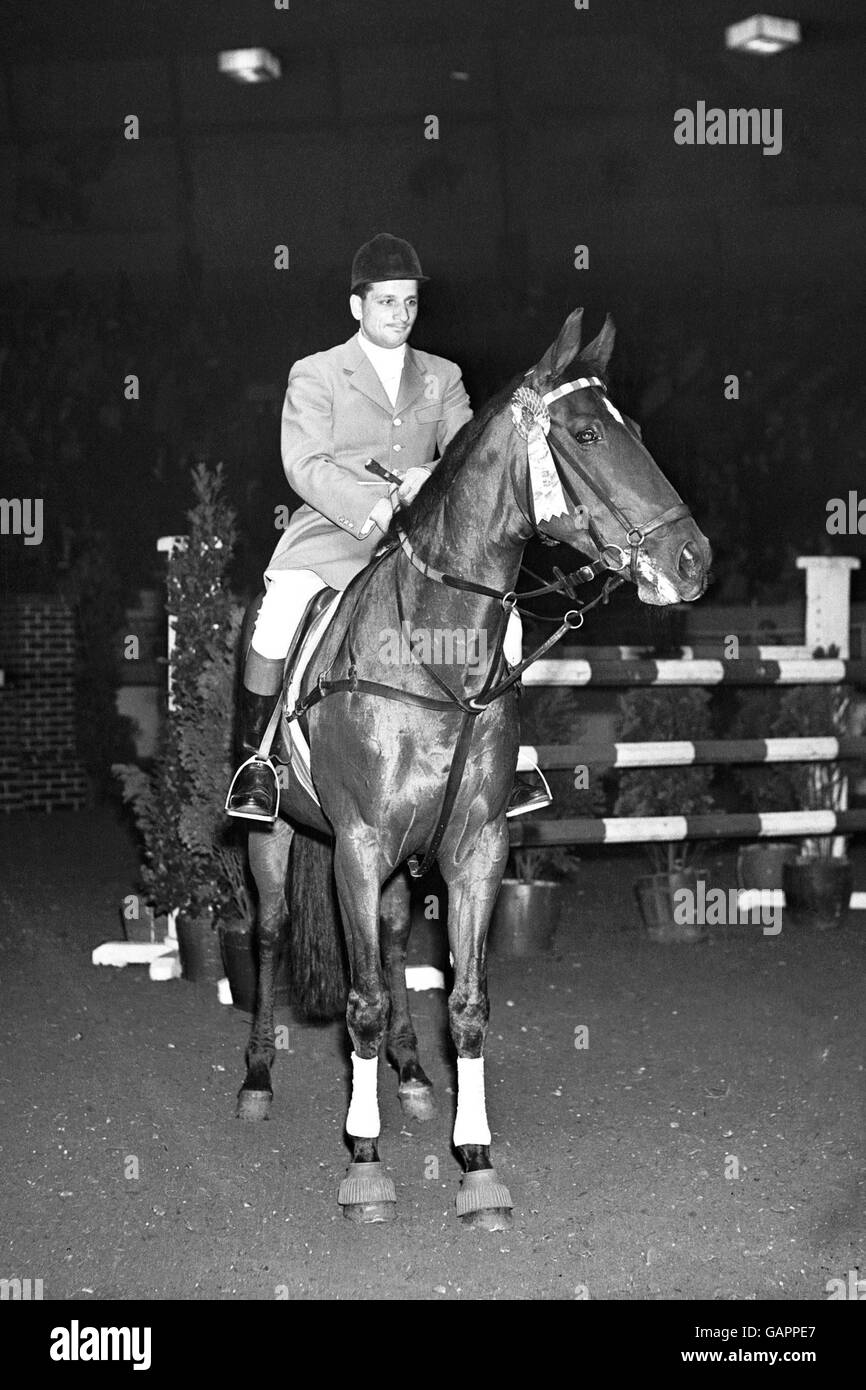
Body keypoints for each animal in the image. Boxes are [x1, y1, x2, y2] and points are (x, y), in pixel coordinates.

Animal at [234, 307, 711, 1228]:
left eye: (633, 430)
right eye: (587, 433)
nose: (693, 562)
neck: (438, 654)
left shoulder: (477, 849)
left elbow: (466, 1004)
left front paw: (477, 1165)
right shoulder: (358, 846)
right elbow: (362, 1001)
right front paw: (366, 1164)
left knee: (389, 939)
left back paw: (413, 1077)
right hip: (271, 840)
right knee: (270, 935)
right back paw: (258, 1080)